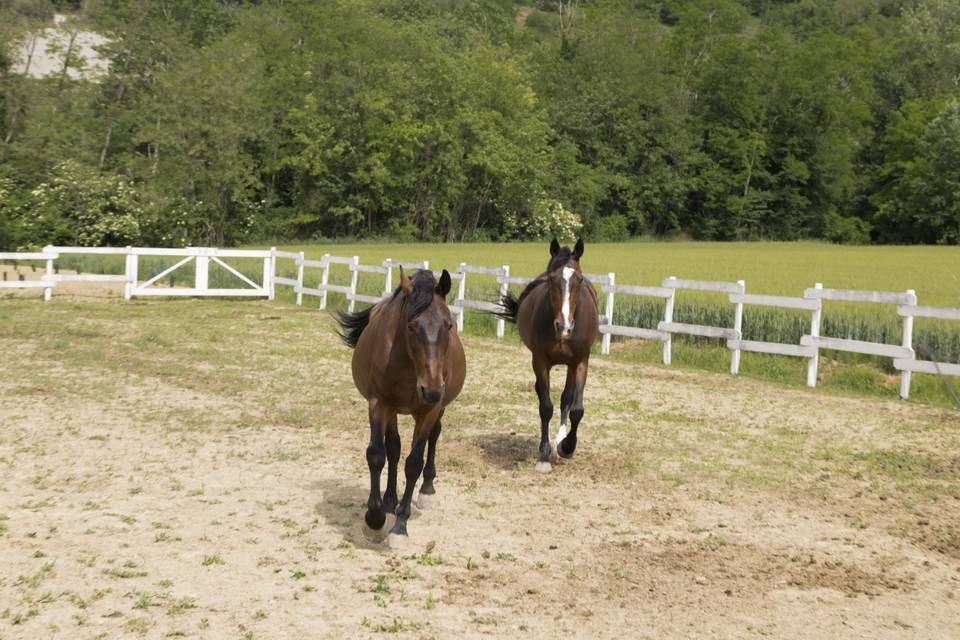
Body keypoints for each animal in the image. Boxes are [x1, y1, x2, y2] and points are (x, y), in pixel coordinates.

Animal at [335, 267, 466, 546]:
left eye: (448, 326)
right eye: (412, 326)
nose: (432, 389)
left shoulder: (428, 411)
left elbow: (413, 463)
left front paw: (400, 526)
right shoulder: (379, 404)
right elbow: (378, 455)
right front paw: (374, 519)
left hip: (438, 409)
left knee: (433, 438)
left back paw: (427, 490)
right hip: (393, 411)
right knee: (393, 449)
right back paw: (388, 502)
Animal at [494, 239, 599, 472]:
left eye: (579, 279)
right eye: (552, 279)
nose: (564, 326)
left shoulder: (580, 362)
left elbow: (576, 409)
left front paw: (566, 447)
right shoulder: (540, 361)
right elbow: (545, 407)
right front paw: (543, 454)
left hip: (570, 365)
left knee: (566, 399)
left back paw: (559, 442)